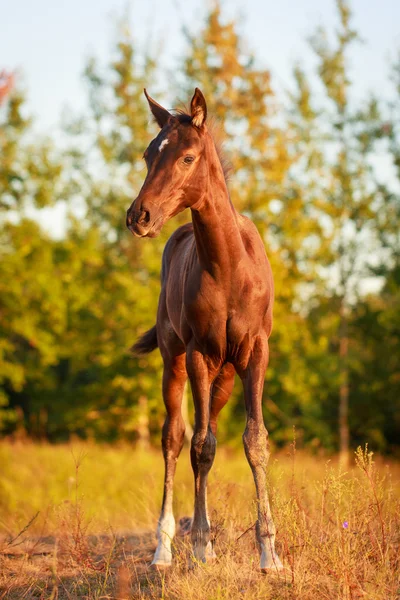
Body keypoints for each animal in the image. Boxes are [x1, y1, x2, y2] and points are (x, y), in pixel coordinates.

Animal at [126, 88, 282, 572]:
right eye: (148, 155)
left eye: (188, 157)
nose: (138, 216)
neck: (230, 267)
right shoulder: (197, 353)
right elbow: (197, 446)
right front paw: (198, 545)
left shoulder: (256, 352)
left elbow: (253, 441)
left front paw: (270, 553)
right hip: (176, 361)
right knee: (175, 437)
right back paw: (165, 547)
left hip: (225, 375)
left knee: (206, 430)